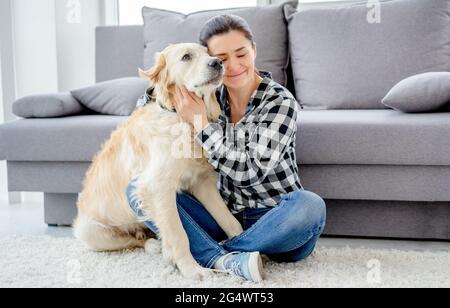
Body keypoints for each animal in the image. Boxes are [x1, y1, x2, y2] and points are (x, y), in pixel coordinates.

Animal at [73, 43, 243, 280]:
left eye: (209, 53)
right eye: (186, 57)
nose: (217, 63)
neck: (181, 117)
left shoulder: (202, 182)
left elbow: (229, 220)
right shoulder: (157, 187)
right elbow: (179, 234)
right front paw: (192, 270)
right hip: (91, 231)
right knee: (134, 241)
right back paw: (153, 245)